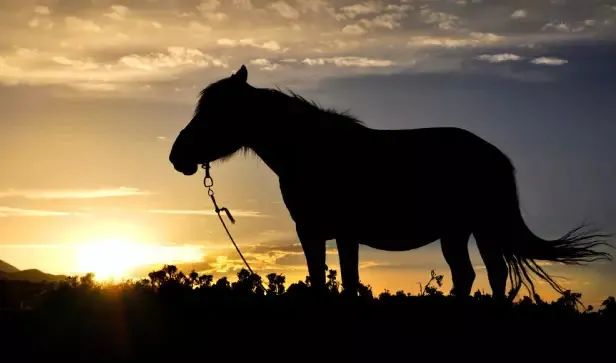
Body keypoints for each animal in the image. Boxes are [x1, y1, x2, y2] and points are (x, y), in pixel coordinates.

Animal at [168, 67, 612, 300]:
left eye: (215, 112)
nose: (177, 157)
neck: (312, 150)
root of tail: (496, 156)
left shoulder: (344, 232)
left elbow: (348, 282)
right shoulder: (311, 232)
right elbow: (319, 281)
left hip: (481, 228)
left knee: (493, 274)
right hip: (457, 232)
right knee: (471, 274)